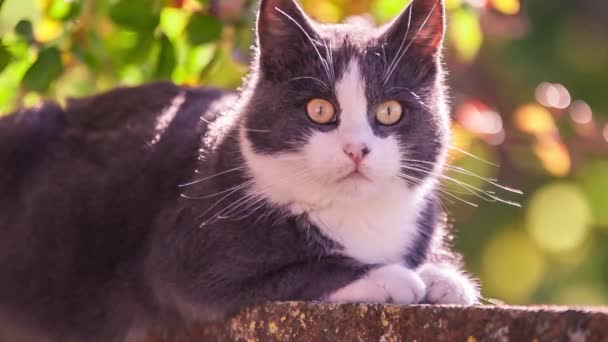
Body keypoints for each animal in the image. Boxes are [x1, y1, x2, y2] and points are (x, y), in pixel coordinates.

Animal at [0, 0, 480, 340]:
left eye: (389, 111)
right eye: (320, 110)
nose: (356, 149)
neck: (355, 215)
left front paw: (443, 277)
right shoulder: (186, 254)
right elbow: (296, 271)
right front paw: (392, 277)